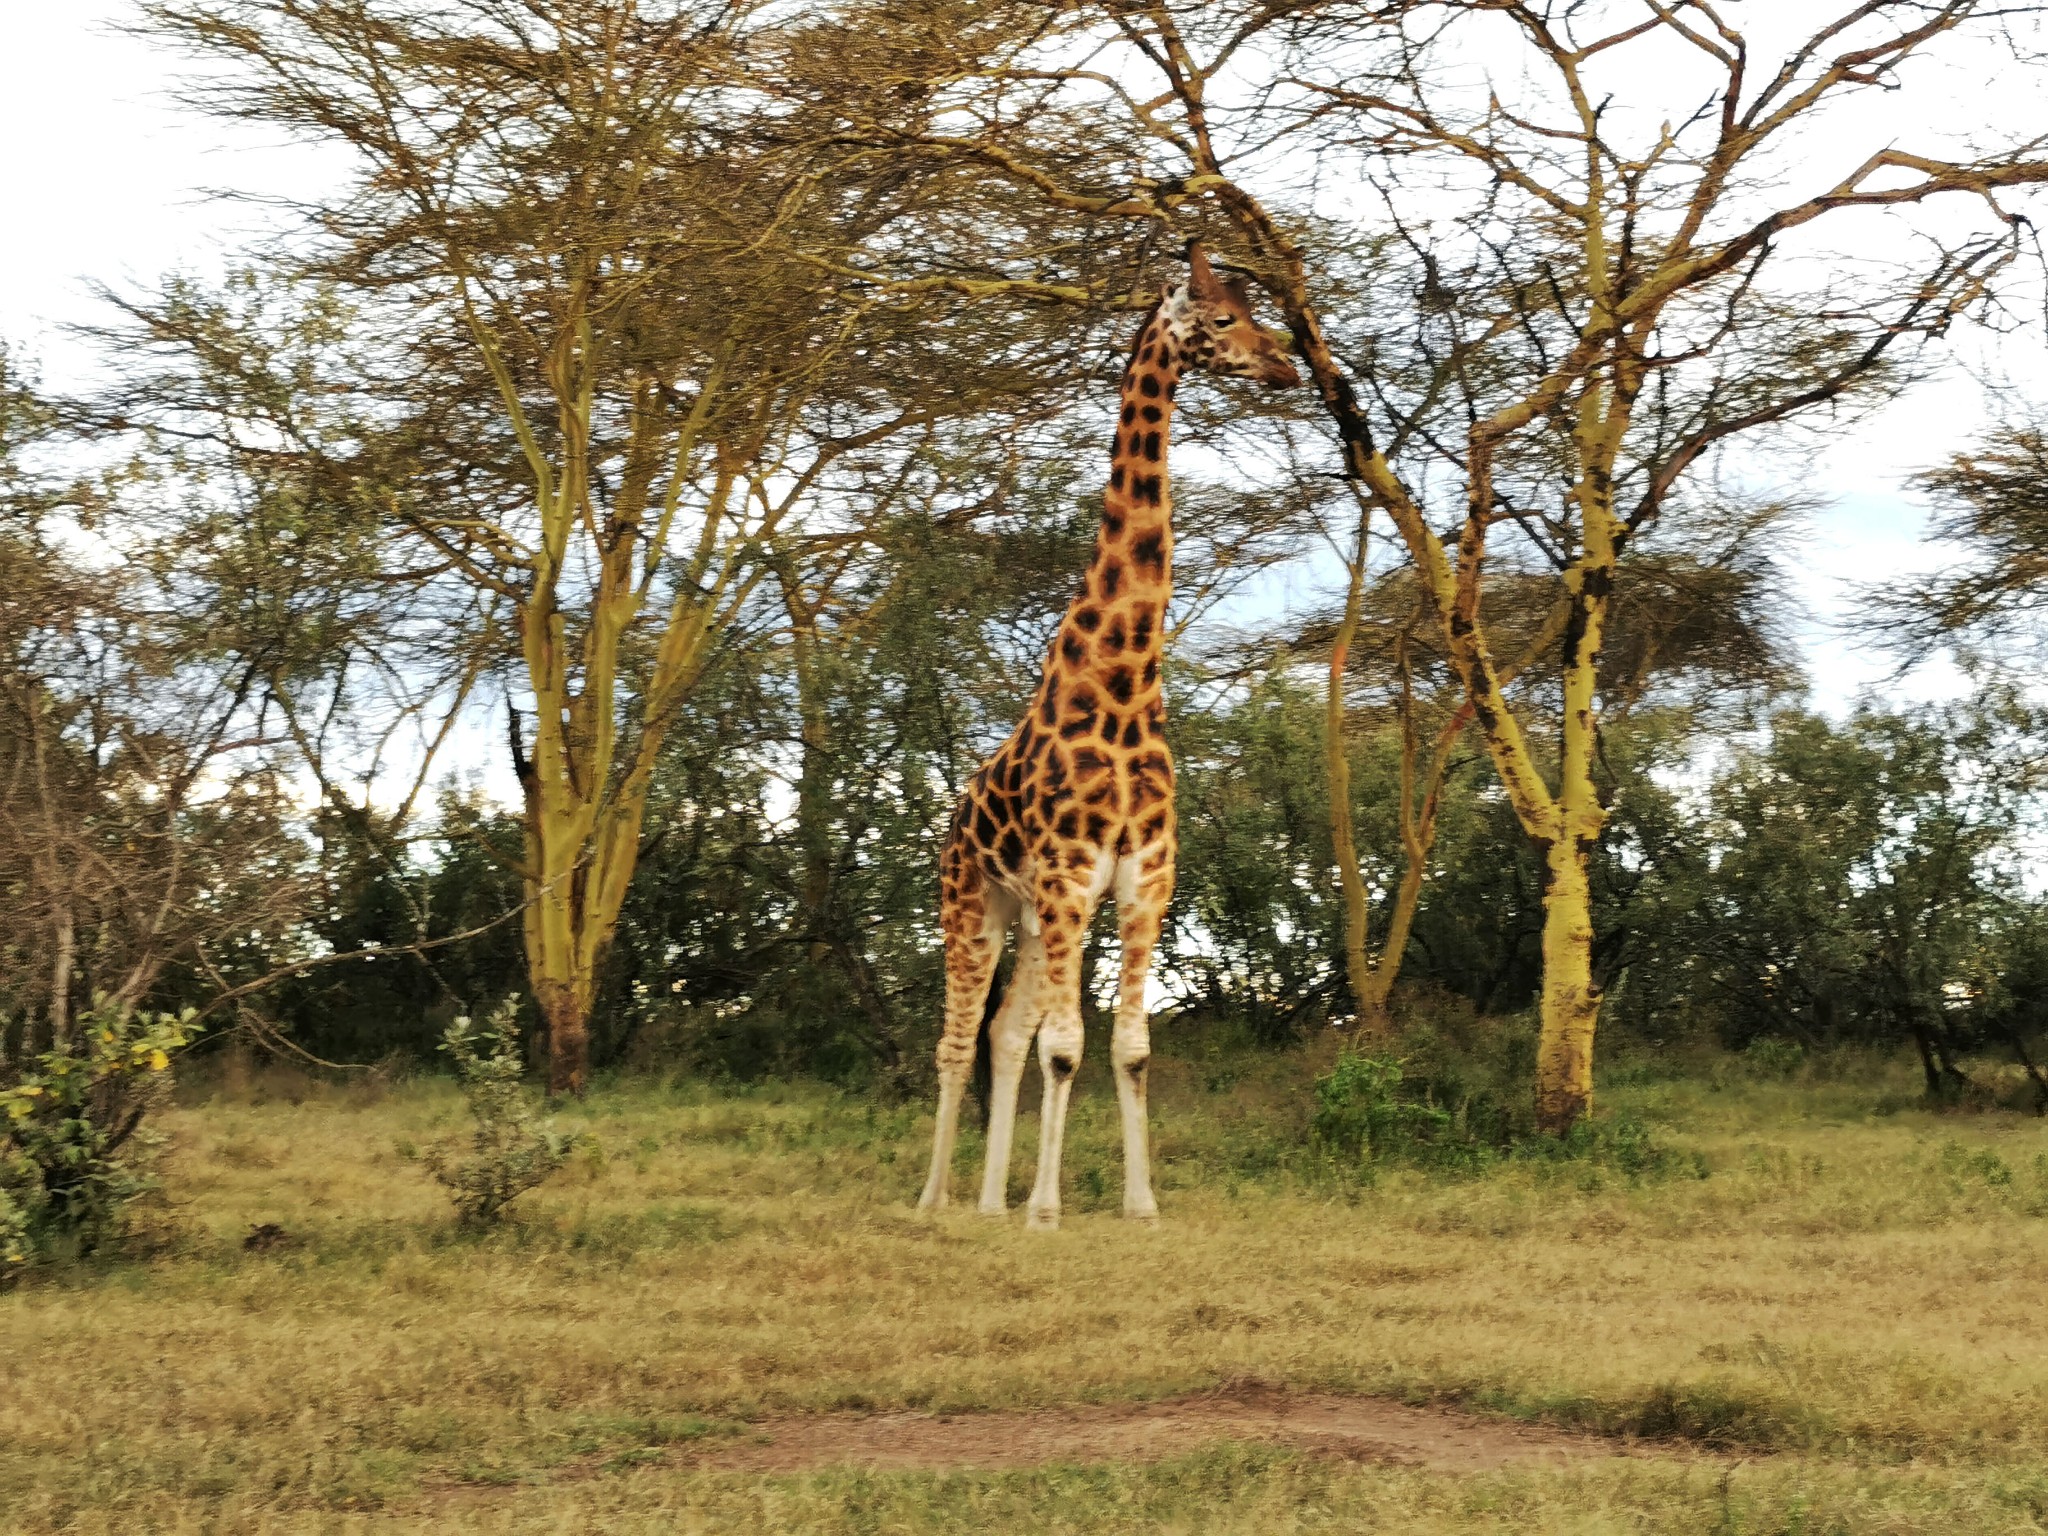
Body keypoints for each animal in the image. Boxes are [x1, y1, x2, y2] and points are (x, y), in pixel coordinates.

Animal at [921, 246, 1302, 1236]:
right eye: (1219, 317)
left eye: (1249, 305)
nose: (1285, 365)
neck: (1126, 683)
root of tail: (952, 820)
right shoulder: (1068, 874)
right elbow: (1066, 1047)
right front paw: (1048, 1210)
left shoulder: (1143, 878)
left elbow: (1126, 1048)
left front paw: (1138, 1203)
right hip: (974, 903)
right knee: (955, 1040)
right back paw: (937, 1198)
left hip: (1030, 915)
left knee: (1004, 1033)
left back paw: (987, 1203)